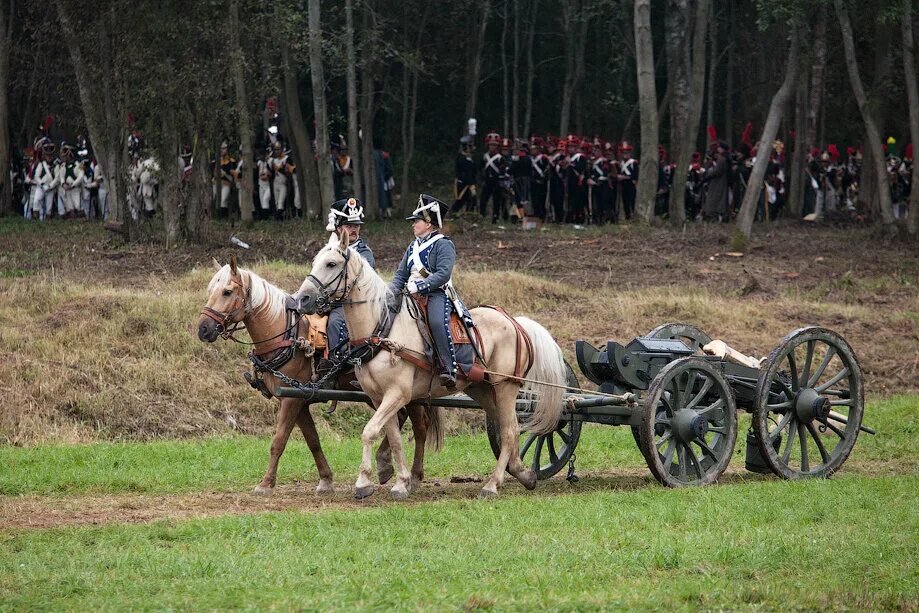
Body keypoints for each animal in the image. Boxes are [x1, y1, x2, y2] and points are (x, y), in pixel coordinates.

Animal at [195, 256, 438, 494]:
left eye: (227, 292)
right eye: (211, 290)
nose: (204, 329)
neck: (287, 335)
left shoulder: (291, 401)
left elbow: (278, 440)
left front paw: (265, 483)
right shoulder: (299, 402)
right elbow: (312, 440)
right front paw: (325, 480)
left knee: (419, 427)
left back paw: (411, 475)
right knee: (402, 420)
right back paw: (388, 465)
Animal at [294, 232, 568, 500]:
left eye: (331, 264)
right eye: (315, 262)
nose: (302, 299)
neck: (381, 329)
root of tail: (514, 321)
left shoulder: (397, 394)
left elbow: (370, 430)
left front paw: (363, 482)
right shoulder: (378, 397)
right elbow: (394, 438)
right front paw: (401, 482)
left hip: (505, 387)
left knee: (510, 431)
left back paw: (492, 485)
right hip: (482, 389)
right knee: (507, 426)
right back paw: (524, 473)